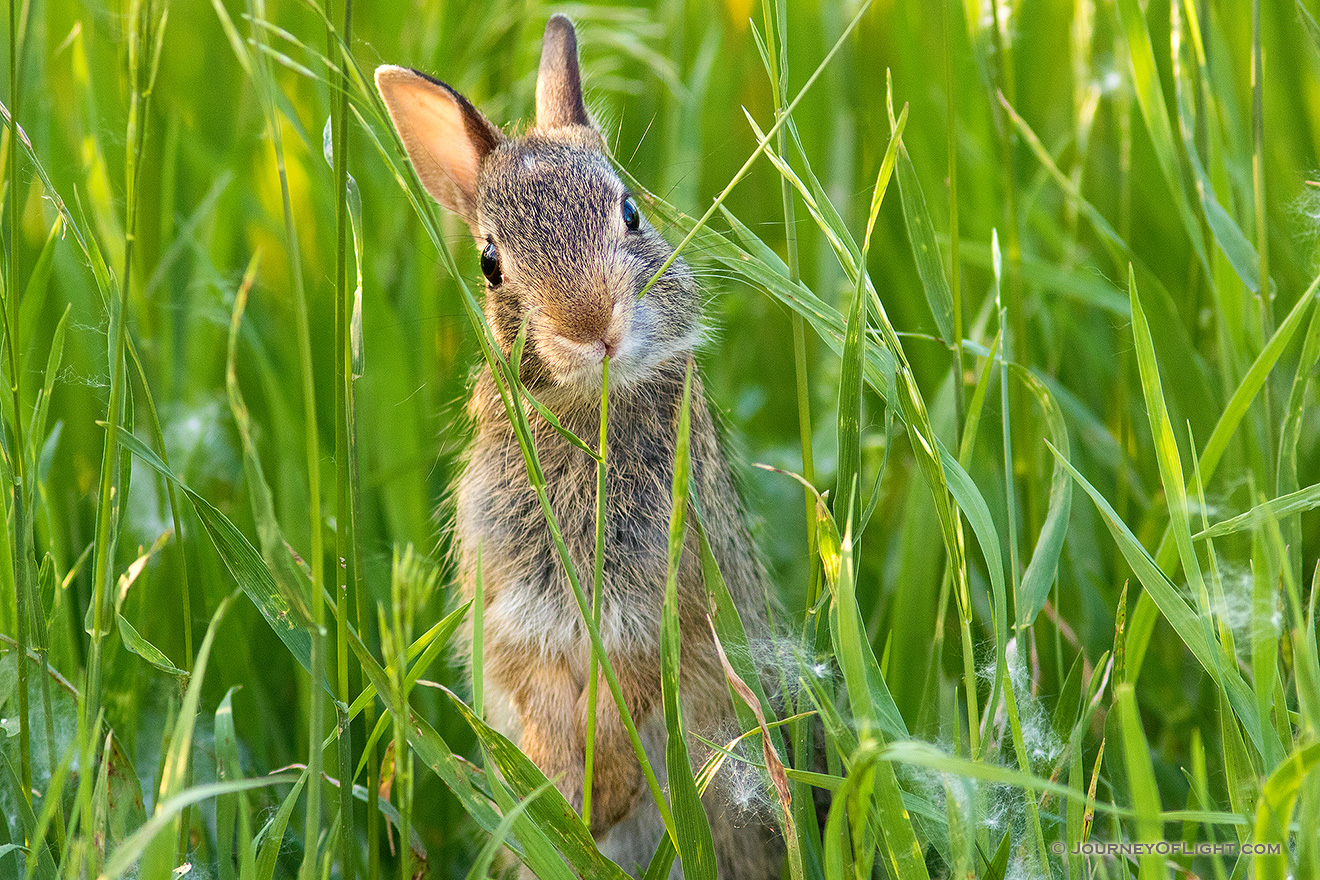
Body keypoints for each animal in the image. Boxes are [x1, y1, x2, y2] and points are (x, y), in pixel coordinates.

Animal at [374, 15, 781, 880]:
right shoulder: (514, 611)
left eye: (630, 212)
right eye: (491, 263)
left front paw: (605, 791)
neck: (584, 414)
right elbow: (540, 700)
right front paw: (562, 795)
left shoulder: (659, 600)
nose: (593, 325)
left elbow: (637, 688)